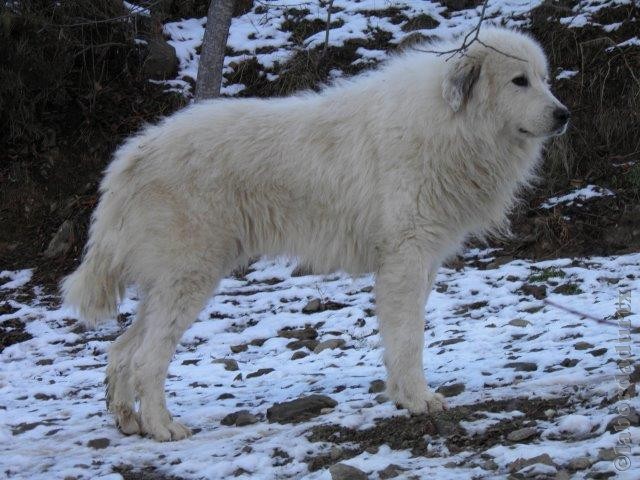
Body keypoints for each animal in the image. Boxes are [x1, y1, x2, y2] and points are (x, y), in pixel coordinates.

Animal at [62, 25, 568, 438]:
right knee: (147, 359)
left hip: (167, 284)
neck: (450, 124)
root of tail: (133, 154)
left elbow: (400, 338)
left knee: (121, 350)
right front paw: (419, 400)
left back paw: (128, 421)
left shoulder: (421, 264)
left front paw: (401, 396)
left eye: (544, 79)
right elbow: (410, 338)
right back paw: (163, 427)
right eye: (519, 81)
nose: (564, 115)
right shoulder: (405, 260)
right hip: (190, 278)